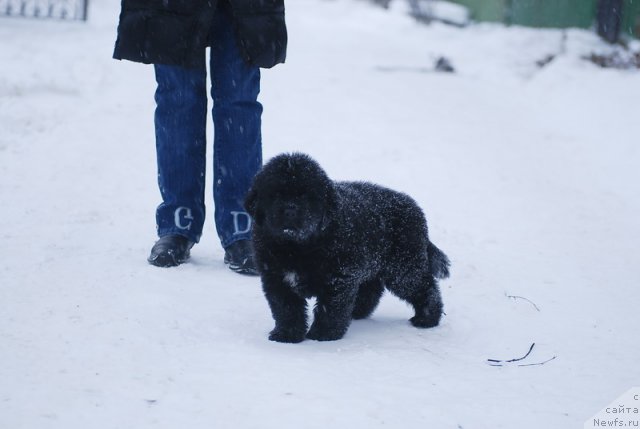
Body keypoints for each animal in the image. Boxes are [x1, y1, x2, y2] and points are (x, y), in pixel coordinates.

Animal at [245, 152, 450, 342]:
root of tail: (415, 208)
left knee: (425, 287)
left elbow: (330, 308)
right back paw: (357, 312)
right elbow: (286, 308)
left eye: (307, 195)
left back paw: (427, 318)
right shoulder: (277, 277)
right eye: (275, 194)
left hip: (403, 267)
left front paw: (324, 334)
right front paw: (287, 334)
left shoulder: (338, 277)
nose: (290, 208)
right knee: (371, 289)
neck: (296, 247)